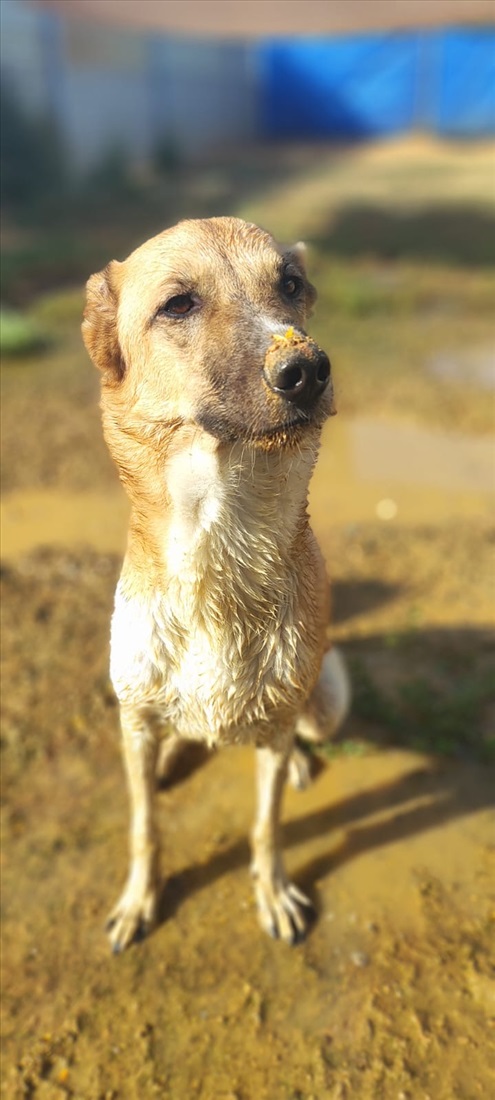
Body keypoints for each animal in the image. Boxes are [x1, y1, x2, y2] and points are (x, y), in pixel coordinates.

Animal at [83, 216, 349, 954]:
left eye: (290, 283)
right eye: (178, 304)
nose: (306, 370)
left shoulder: (281, 723)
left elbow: (266, 825)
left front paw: (275, 892)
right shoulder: (134, 717)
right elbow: (144, 828)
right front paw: (138, 900)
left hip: (327, 697)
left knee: (290, 735)